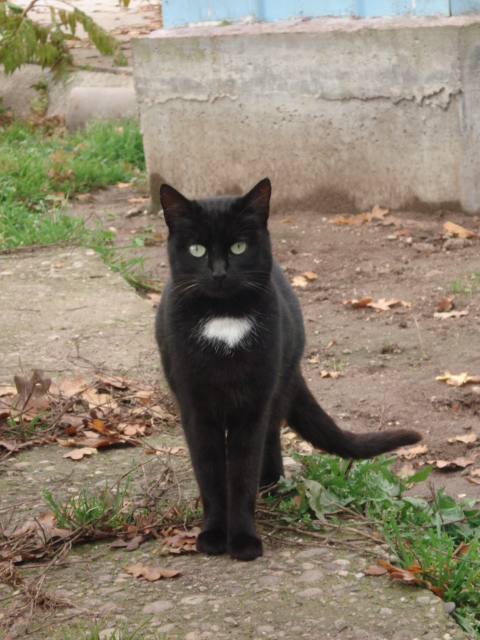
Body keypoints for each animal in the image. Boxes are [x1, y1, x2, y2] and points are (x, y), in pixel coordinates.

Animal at [156, 179, 422, 560]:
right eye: (196, 250)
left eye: (238, 247)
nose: (219, 273)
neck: (224, 321)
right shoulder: (195, 407)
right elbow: (209, 475)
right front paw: (213, 535)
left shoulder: (254, 404)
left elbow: (242, 473)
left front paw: (243, 539)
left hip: (278, 388)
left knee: (269, 442)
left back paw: (272, 488)